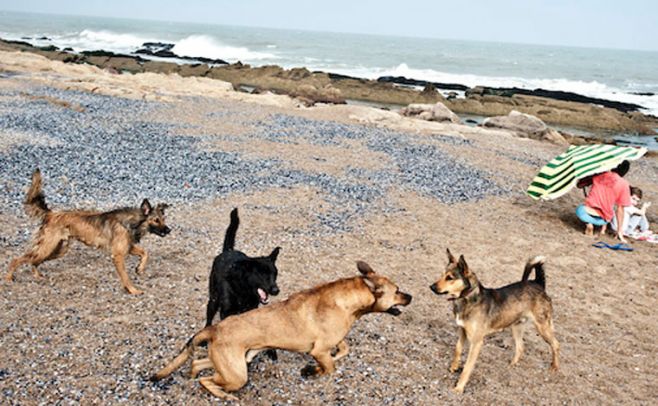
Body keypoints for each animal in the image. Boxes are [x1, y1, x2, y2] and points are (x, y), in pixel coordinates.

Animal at [6, 168, 170, 294]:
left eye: (164, 219)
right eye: (156, 220)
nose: (169, 230)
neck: (132, 222)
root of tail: (51, 214)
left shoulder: (128, 247)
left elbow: (145, 253)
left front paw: (139, 269)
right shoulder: (118, 255)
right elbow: (126, 277)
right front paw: (133, 290)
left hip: (57, 250)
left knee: (33, 261)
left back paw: (37, 276)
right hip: (47, 247)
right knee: (18, 259)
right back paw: (8, 278)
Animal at [151, 262, 412, 402]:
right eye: (397, 291)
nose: (410, 296)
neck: (349, 302)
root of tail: (214, 328)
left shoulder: (332, 343)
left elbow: (343, 350)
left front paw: (314, 368)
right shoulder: (319, 350)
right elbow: (329, 367)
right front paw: (312, 371)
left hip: (235, 362)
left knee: (198, 364)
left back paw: (192, 375)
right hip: (237, 375)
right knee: (206, 380)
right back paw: (223, 396)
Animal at [204, 208, 278, 360]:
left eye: (275, 274)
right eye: (262, 274)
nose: (276, 290)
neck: (243, 290)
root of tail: (228, 251)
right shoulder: (226, 312)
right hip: (213, 299)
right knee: (209, 316)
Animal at [430, 249, 560, 394]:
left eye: (450, 278)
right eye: (442, 275)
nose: (431, 287)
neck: (467, 298)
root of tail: (538, 283)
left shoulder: (476, 342)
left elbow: (468, 367)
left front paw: (459, 387)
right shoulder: (462, 331)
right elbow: (457, 349)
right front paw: (454, 367)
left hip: (542, 327)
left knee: (556, 344)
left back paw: (554, 367)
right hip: (516, 327)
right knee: (521, 347)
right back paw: (512, 365)